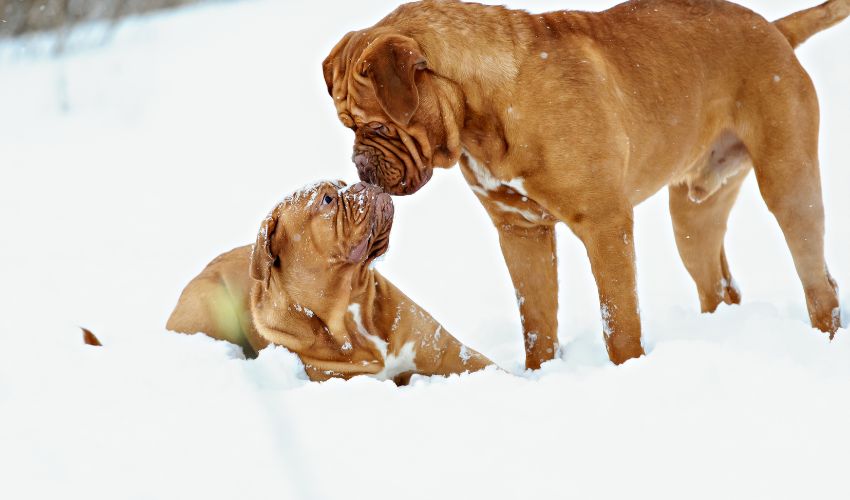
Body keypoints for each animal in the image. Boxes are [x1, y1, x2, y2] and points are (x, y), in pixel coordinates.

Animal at [166, 182, 490, 380]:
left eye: (343, 183)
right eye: (327, 199)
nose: (364, 182)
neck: (350, 305)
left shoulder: (449, 353)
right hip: (208, 305)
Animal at [322, 0, 844, 368]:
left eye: (381, 126)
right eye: (347, 125)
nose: (361, 167)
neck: (487, 109)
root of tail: (776, 29)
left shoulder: (605, 224)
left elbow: (619, 318)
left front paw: (628, 370)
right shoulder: (520, 231)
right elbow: (536, 319)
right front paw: (541, 374)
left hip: (788, 181)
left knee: (819, 280)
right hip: (693, 216)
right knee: (718, 286)